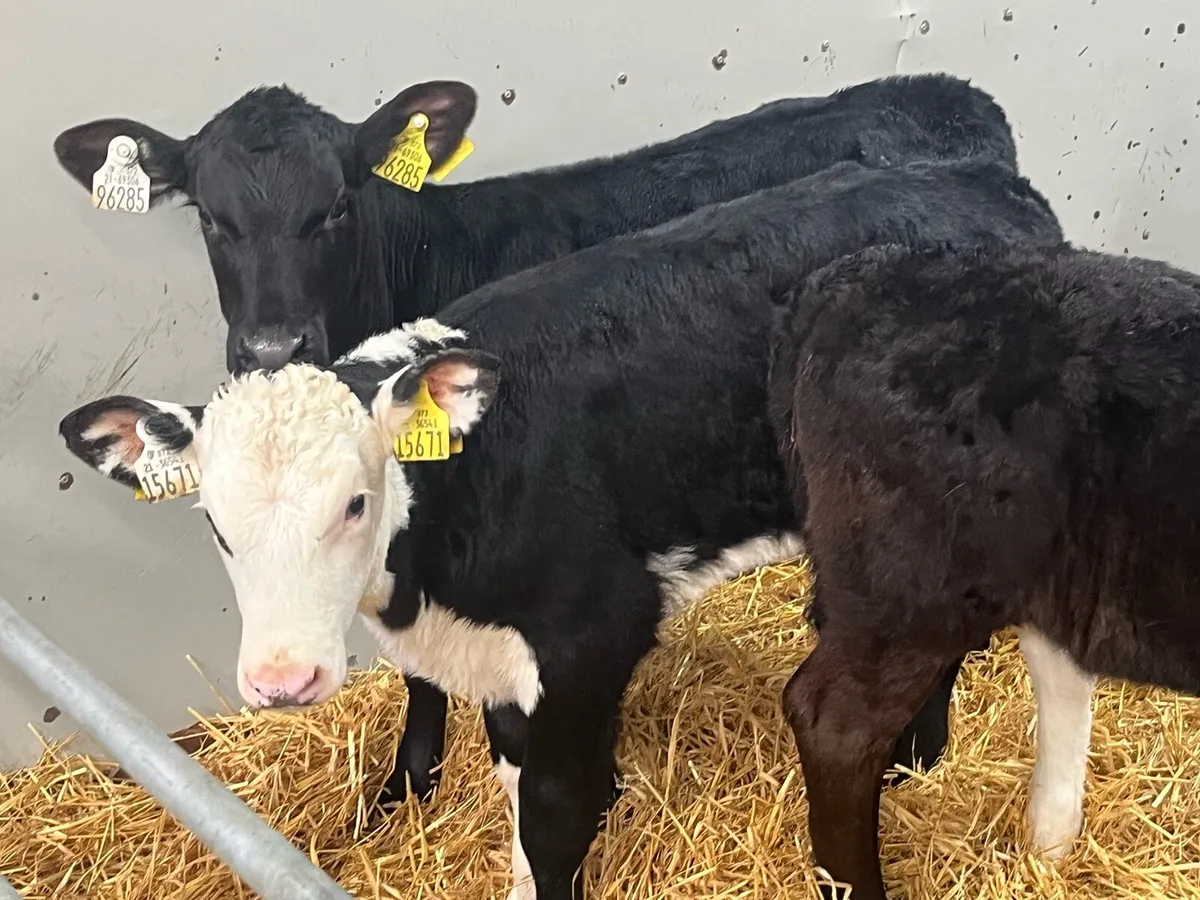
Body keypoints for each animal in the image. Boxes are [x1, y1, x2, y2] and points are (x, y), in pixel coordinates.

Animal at [58, 158, 1061, 900]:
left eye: (353, 502)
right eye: (216, 526)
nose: (282, 680)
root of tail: (983, 181)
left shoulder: (593, 632)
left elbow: (553, 808)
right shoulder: (501, 657)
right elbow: (511, 780)